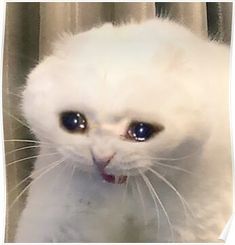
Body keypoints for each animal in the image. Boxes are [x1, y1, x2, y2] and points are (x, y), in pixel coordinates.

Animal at [14, 18, 231, 242]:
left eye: (141, 131)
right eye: (73, 121)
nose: (101, 158)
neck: (124, 191)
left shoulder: (193, 226)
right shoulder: (59, 221)